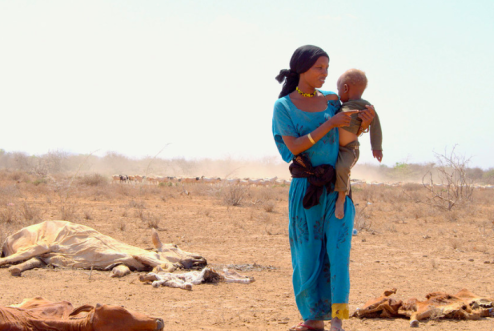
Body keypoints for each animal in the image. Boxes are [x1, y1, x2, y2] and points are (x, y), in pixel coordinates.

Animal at [0, 222, 206, 278]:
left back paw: (16, 269)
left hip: (41, 253)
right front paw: (157, 270)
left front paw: (116, 272)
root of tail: (8, 240)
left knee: (27, 262)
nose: (202, 259)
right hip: (40, 244)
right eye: (176, 246)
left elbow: (122, 269)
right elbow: (166, 265)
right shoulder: (141, 254)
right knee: (9, 259)